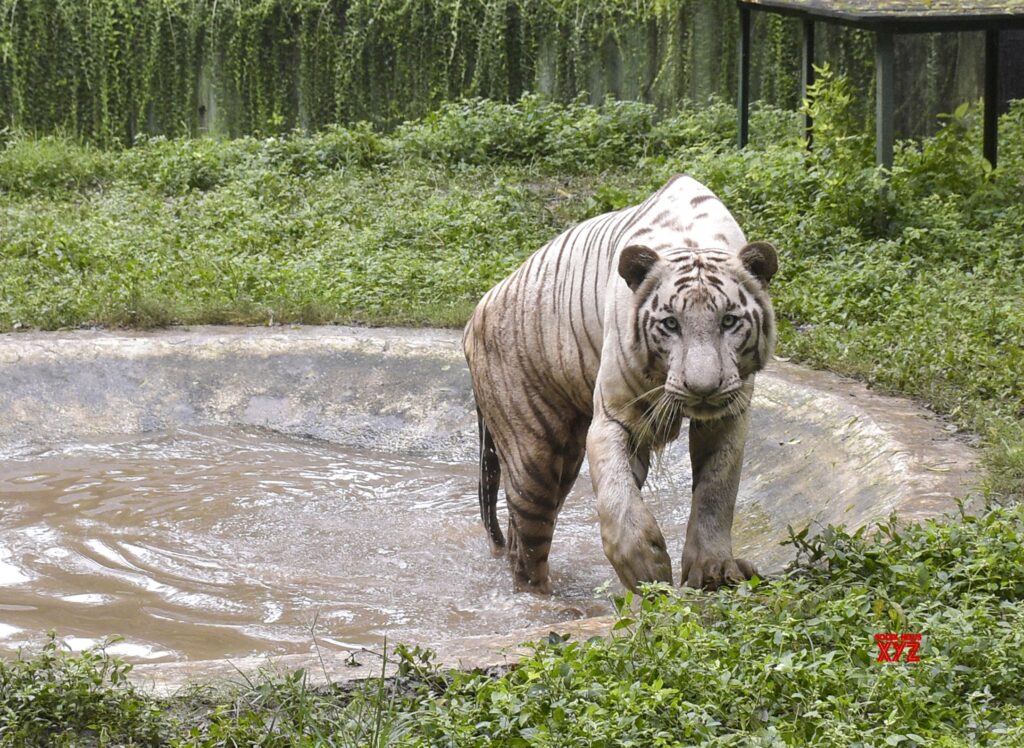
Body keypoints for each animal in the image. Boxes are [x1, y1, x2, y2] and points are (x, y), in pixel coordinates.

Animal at [462, 174, 778, 594]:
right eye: (670, 324)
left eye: (729, 321)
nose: (702, 388)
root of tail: (474, 315)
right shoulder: (613, 417)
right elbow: (617, 494)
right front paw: (645, 568)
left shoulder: (728, 415)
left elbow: (716, 491)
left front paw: (712, 570)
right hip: (532, 455)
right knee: (528, 548)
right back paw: (545, 602)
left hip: (565, 455)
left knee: (519, 539)